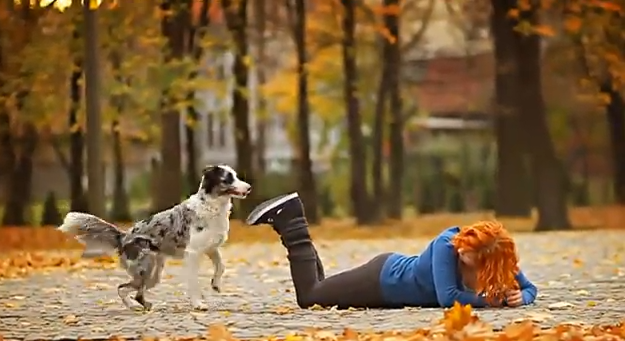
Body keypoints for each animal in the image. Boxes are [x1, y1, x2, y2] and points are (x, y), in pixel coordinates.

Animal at [56, 163, 251, 310]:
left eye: (235, 175)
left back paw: (142, 306)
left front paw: (215, 284)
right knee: (123, 289)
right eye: (227, 179)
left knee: (133, 292)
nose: (249, 188)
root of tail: (124, 236)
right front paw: (198, 304)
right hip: (146, 269)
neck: (211, 205)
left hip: (153, 274)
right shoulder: (193, 254)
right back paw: (134, 307)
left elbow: (221, 266)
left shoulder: (211, 248)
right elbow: (194, 282)